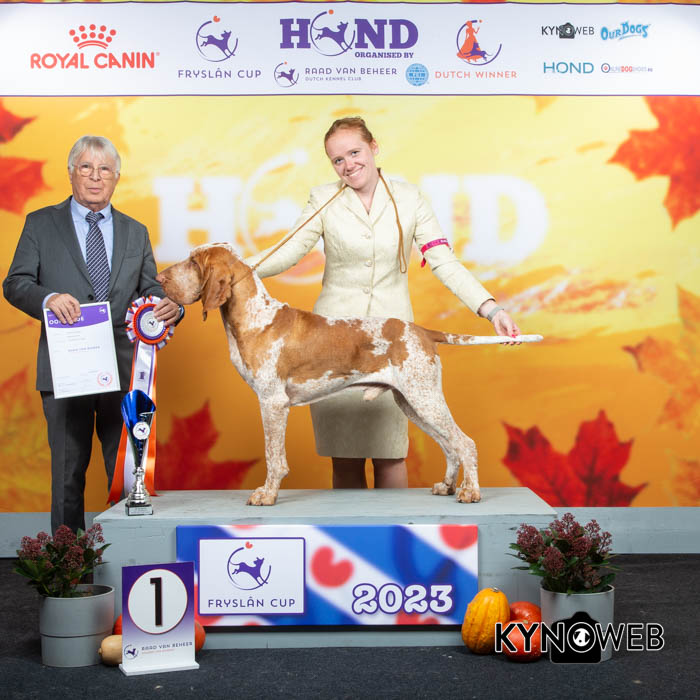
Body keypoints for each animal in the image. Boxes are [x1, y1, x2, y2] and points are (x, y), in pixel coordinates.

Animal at [157, 243, 505, 506]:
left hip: (424, 398)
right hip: (412, 402)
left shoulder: (272, 403)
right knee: (450, 445)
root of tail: (422, 331)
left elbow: (273, 457)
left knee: (465, 443)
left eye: (193, 262)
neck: (257, 316)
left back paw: (470, 492)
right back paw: (447, 486)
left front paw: (267, 494)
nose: (159, 277)